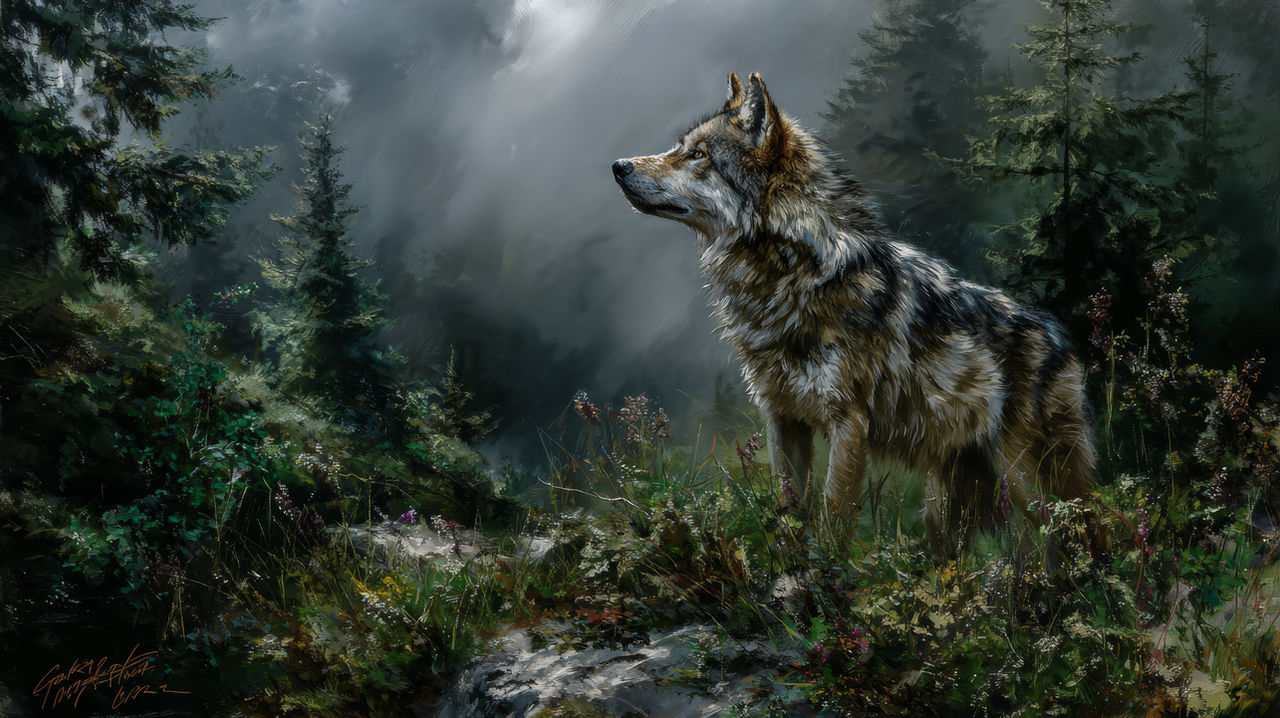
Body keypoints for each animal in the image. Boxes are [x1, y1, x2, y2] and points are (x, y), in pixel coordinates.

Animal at [611, 72, 1095, 555]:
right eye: (681, 147)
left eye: (698, 155)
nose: (618, 166)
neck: (791, 277)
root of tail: (1062, 338)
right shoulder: (782, 419)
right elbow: (791, 512)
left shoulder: (848, 424)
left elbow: (831, 518)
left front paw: (826, 570)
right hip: (949, 507)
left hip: (1028, 484)